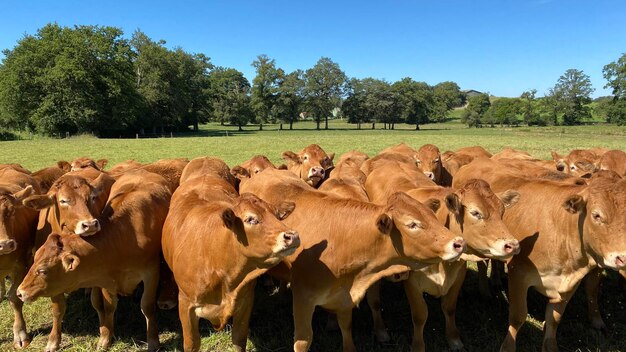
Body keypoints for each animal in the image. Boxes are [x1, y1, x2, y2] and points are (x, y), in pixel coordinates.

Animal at [17, 169, 171, 350]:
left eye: (42, 270)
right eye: (63, 200)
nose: (20, 292)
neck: (124, 236)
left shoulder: (151, 272)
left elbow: (147, 306)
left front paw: (153, 341)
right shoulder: (106, 277)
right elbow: (108, 306)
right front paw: (105, 338)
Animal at [160, 166, 298, 352]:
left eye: (277, 215)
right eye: (251, 219)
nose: (292, 236)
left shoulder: (245, 302)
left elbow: (239, 339)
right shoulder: (186, 305)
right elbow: (191, 344)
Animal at [239, 168, 464, 352]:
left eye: (433, 217)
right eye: (413, 224)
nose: (458, 242)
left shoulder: (344, 296)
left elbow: (346, 326)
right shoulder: (303, 297)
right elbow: (303, 341)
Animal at [450, 159, 624, 352]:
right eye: (596, 215)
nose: (621, 258)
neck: (561, 229)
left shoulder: (571, 282)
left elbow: (555, 318)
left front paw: (551, 345)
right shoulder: (519, 274)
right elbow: (518, 316)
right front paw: (508, 347)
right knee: (482, 264)